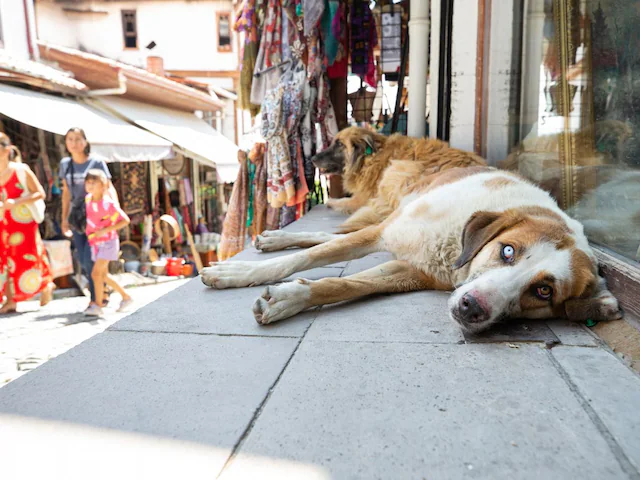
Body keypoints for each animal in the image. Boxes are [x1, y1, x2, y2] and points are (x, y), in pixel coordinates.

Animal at [201, 167, 622, 333]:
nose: (472, 308)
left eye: (544, 291)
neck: (452, 250)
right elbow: (309, 258)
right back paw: (275, 240)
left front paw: (290, 298)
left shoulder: (410, 271)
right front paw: (238, 273)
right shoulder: (388, 233)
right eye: (507, 251)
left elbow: (345, 284)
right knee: (333, 238)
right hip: (390, 219)